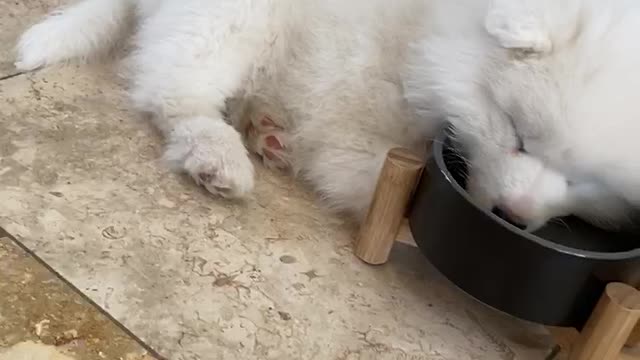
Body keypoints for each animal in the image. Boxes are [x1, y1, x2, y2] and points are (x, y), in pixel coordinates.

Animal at [13, 0, 640, 231]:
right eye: (517, 136)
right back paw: (219, 152)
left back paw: (263, 128)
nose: (512, 217)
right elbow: (372, 181)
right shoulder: (361, 116)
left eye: (585, 181)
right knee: (173, 88)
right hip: (232, 17)